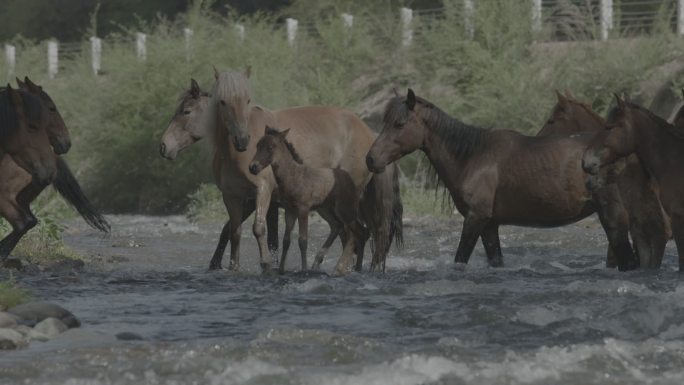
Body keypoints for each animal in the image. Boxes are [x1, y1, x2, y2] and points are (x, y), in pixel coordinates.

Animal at [246, 126, 364, 272]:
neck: (292, 177)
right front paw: (281, 270)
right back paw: (321, 263)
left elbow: (302, 240)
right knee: (337, 226)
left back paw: (354, 267)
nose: (253, 167)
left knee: (358, 232)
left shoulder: (303, 208)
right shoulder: (290, 210)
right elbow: (286, 240)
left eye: (270, 147)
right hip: (325, 209)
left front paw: (303, 269)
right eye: (257, 145)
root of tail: (350, 179)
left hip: (345, 209)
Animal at [366, 89, 640, 270]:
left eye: (400, 123)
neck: (473, 156)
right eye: (386, 121)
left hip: (613, 218)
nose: (371, 159)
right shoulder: (489, 225)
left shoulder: (475, 219)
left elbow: (460, 259)